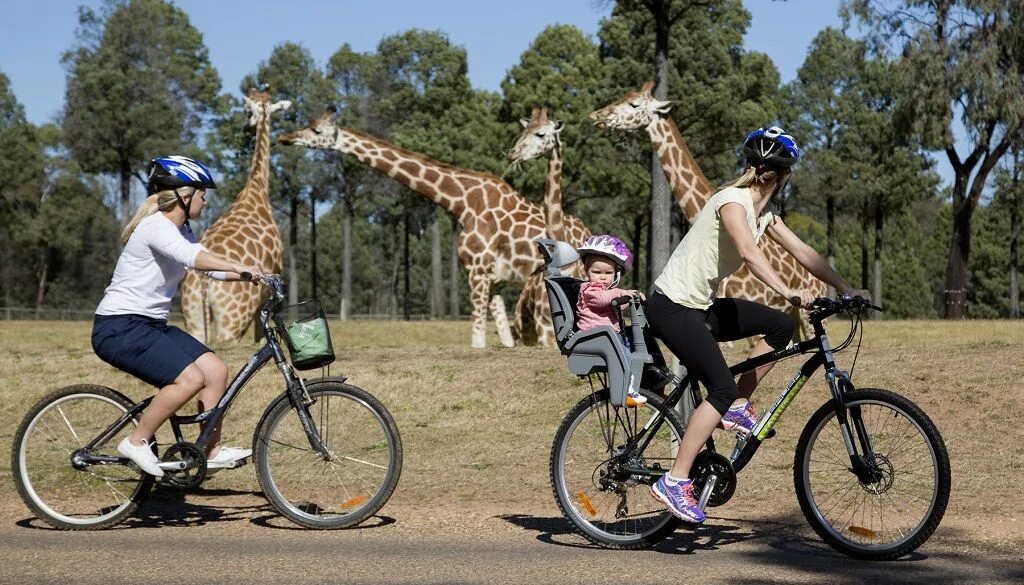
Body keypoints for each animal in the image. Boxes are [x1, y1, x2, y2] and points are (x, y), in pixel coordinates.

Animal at [180, 88, 290, 344]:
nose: (247, 126)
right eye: (248, 111)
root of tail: (204, 284)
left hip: (194, 320)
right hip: (232, 324)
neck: (257, 189)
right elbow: (262, 336)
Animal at [278, 108, 552, 348]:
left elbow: (477, 340)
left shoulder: (477, 271)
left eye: (316, 130)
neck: (463, 202)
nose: (285, 138)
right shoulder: (494, 279)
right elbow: (505, 338)